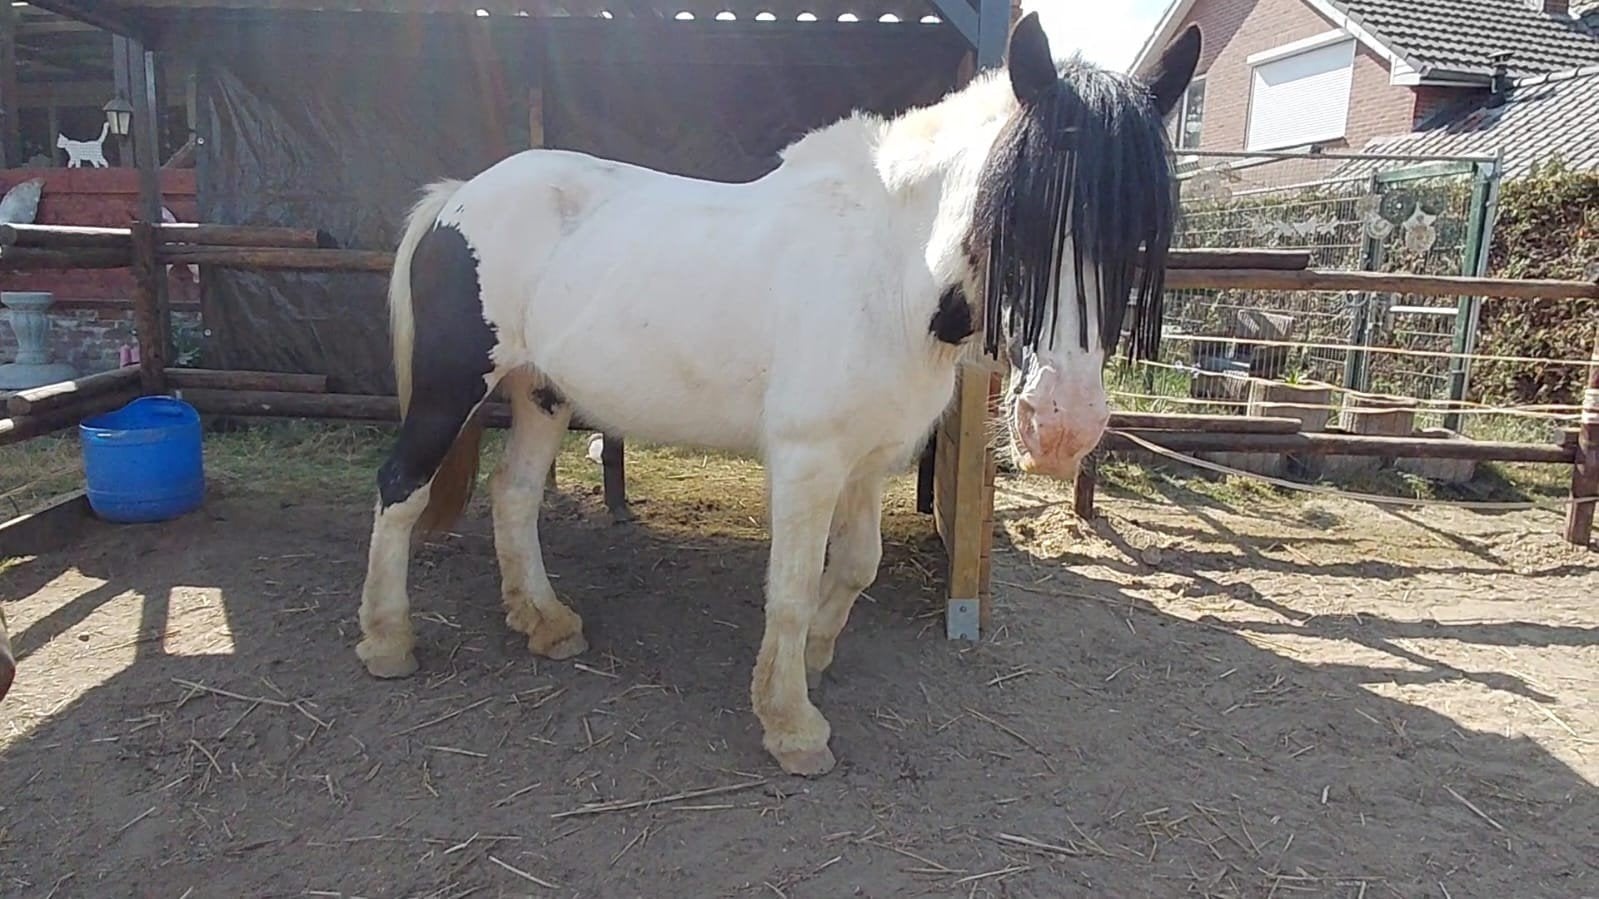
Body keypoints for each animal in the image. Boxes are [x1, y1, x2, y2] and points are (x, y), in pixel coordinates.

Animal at [355, 13, 1201, 776]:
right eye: (1014, 220)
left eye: (1134, 235)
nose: (1061, 424)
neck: (887, 270)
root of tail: (459, 196)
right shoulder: (806, 459)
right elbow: (789, 586)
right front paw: (791, 723)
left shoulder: (869, 458)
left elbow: (856, 564)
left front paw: (815, 658)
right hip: (452, 385)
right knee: (400, 487)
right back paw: (387, 638)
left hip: (542, 394)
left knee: (514, 493)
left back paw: (544, 619)